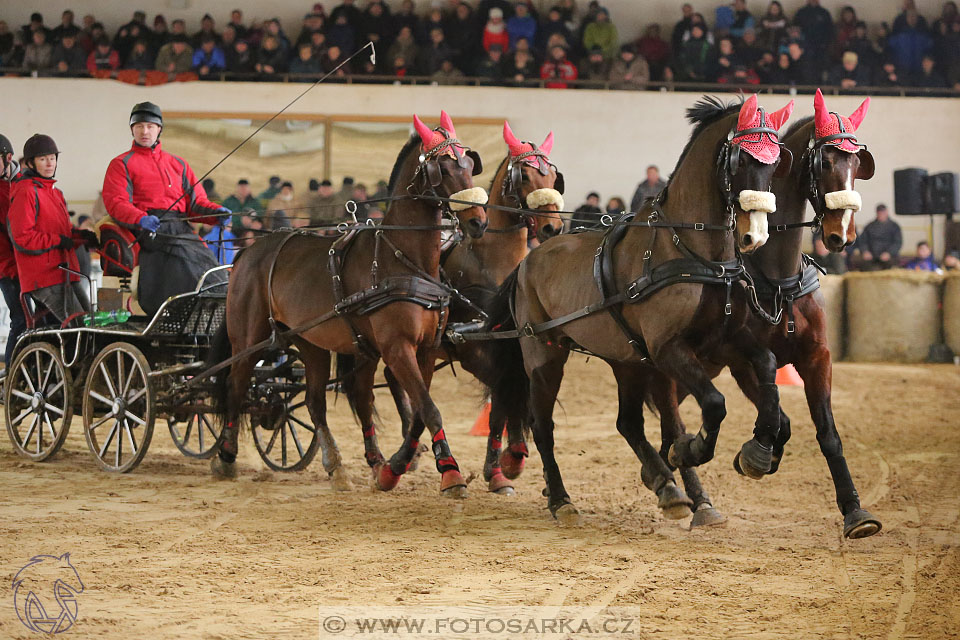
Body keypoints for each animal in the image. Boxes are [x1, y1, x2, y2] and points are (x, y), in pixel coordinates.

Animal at [206, 112, 484, 498]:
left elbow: (418, 413)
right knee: (236, 385)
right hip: (249, 337)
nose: (478, 221)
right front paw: (451, 473)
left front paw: (395, 468)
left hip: (311, 342)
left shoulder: (426, 349)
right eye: (442, 168)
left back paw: (342, 466)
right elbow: (429, 409)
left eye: (470, 165)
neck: (402, 259)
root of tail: (248, 251)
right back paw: (227, 457)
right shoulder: (397, 348)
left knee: (318, 402)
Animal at [344, 121, 568, 496]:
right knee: (366, 395)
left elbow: (503, 404)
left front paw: (501, 467)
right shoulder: (473, 350)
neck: (491, 262)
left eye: (553, 175)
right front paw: (502, 461)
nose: (553, 227)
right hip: (370, 349)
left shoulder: (506, 346)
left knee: (394, 379)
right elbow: (500, 399)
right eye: (524, 175)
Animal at [484, 96, 792, 524]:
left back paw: (670, 489)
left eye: (776, 162)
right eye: (740, 160)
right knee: (542, 425)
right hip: (545, 355)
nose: (755, 236)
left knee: (628, 422)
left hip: (627, 360)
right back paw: (562, 499)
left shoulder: (726, 341)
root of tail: (528, 261)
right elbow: (713, 405)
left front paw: (759, 450)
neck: (693, 252)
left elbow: (766, 365)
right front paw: (690, 450)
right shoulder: (669, 349)